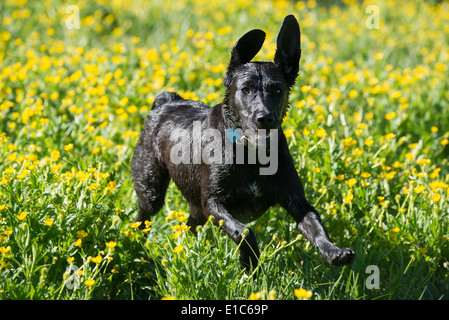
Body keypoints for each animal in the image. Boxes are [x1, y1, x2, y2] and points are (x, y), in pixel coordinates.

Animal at [131, 15, 356, 270]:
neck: (251, 153)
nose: (265, 118)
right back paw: (136, 244)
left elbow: (316, 225)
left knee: (190, 226)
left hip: (195, 205)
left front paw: (333, 251)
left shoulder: (296, 200)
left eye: (277, 89)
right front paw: (249, 264)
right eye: (245, 89)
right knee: (143, 217)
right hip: (151, 187)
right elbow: (244, 231)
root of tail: (167, 100)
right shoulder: (213, 203)